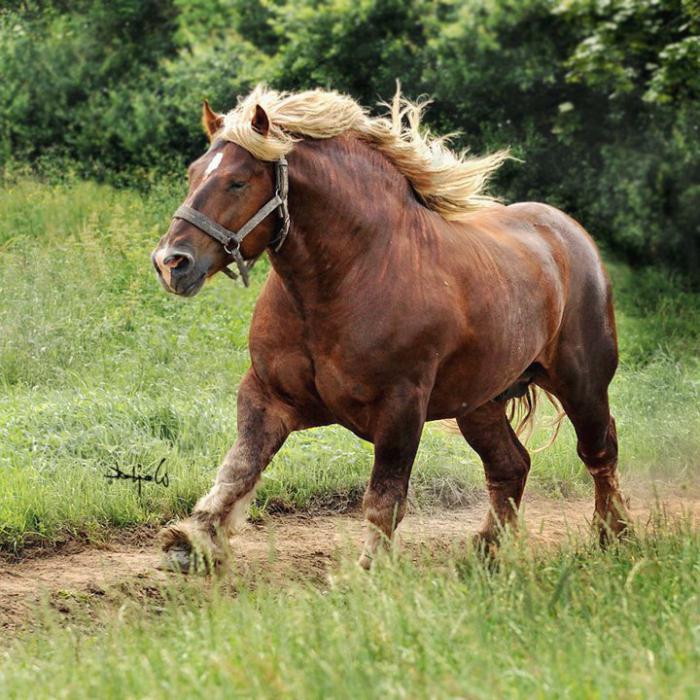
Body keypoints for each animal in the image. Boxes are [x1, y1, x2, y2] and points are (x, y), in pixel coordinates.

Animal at [152, 86, 628, 576]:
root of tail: (569, 234)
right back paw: (485, 551)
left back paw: (612, 536)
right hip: (480, 403)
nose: (171, 262)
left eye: (238, 181)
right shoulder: (267, 395)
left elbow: (385, 496)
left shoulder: (401, 407)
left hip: (581, 383)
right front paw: (192, 539)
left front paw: (367, 571)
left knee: (599, 452)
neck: (347, 276)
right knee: (511, 466)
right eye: (193, 173)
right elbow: (239, 469)